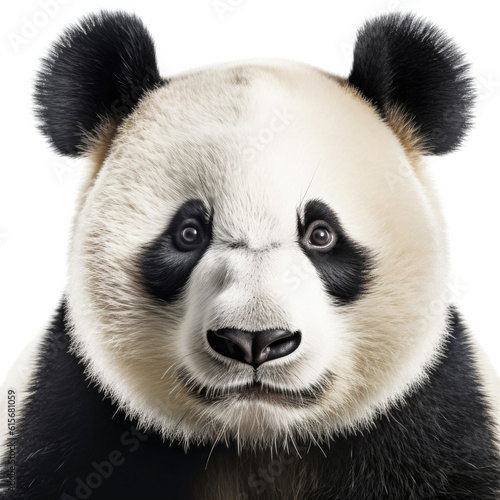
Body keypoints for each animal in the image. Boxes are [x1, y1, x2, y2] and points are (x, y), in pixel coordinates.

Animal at [0, 8, 500, 500]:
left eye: (321, 235)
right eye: (188, 233)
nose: (254, 341)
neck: (256, 444)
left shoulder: (434, 423)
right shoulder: (74, 416)